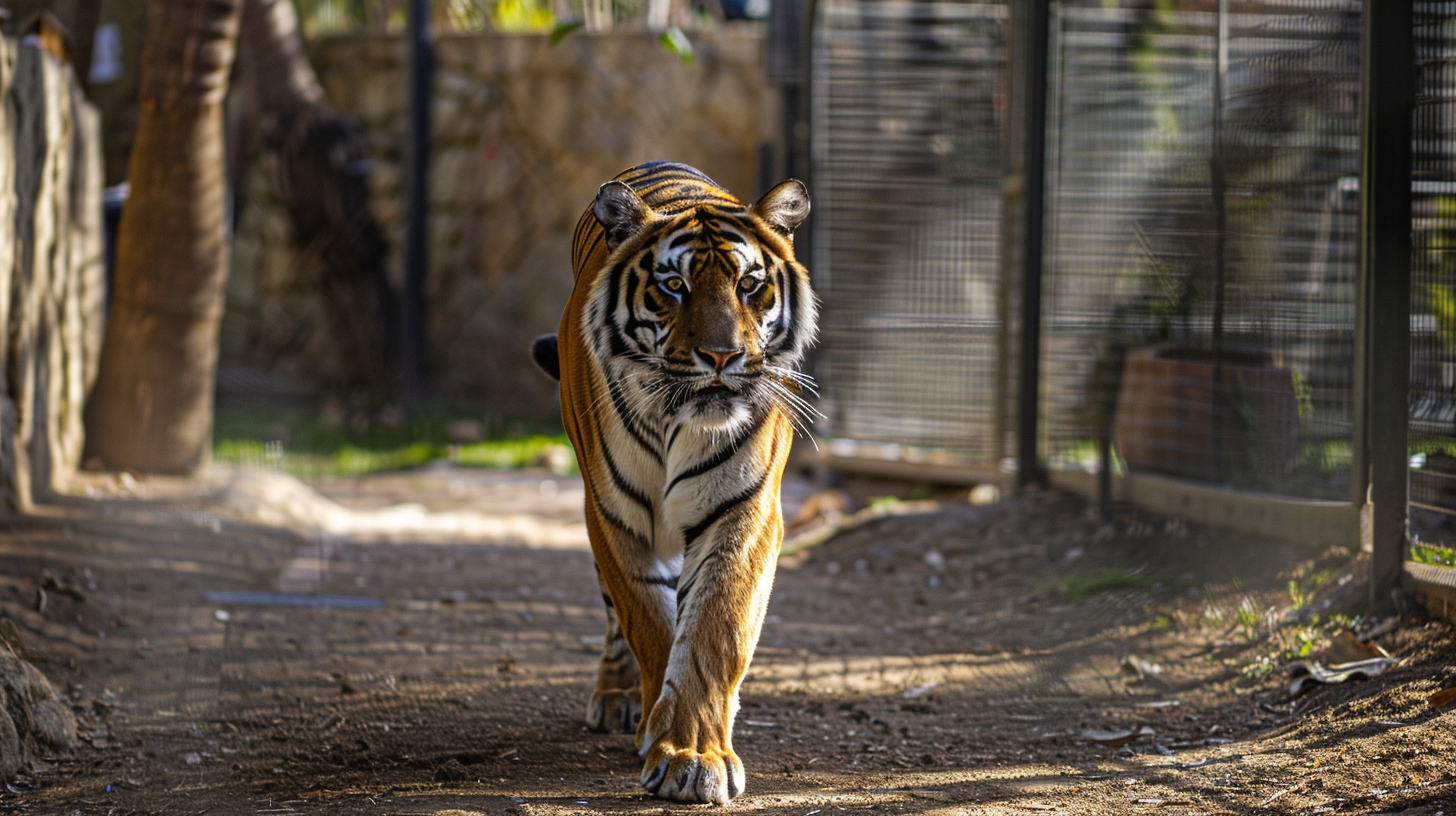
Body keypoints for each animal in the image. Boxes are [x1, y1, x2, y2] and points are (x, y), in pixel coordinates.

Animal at [530, 161, 817, 804]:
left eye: (749, 285)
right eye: (674, 286)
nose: (721, 356)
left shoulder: (745, 510)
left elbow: (714, 630)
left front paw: (694, 756)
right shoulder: (614, 514)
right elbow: (649, 622)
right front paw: (664, 737)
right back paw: (618, 699)